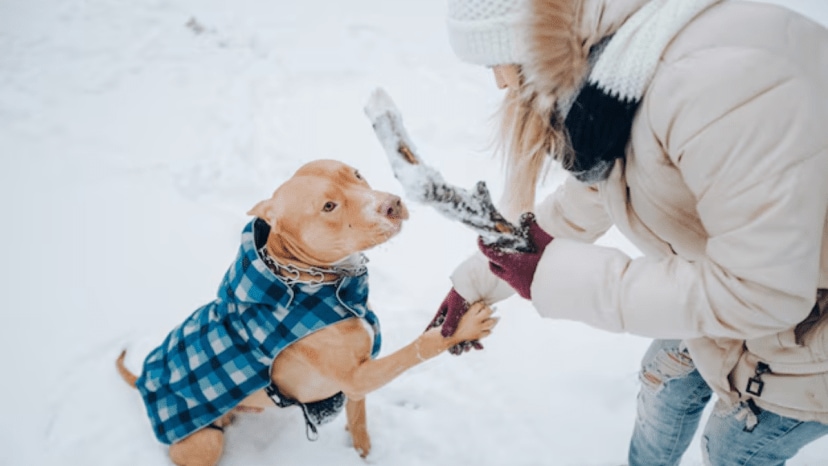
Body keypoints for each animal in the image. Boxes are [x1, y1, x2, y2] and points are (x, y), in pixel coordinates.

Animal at [117, 158, 498, 464]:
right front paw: (464, 326)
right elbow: (414, 349)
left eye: (356, 174)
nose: (392, 204)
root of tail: (142, 383)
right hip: (204, 442)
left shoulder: (356, 388)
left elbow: (359, 421)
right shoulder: (358, 376)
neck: (314, 282)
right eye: (329, 206)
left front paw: (363, 453)